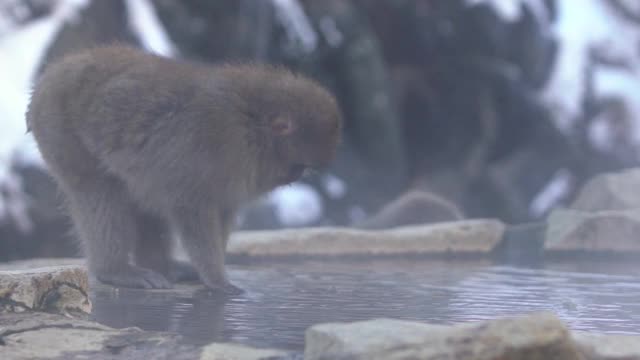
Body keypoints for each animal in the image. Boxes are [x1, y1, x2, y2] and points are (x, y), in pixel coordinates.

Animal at [27, 45, 342, 292]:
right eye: (299, 165)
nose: (295, 175)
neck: (250, 124)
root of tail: (52, 73)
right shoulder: (210, 147)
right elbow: (192, 210)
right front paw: (216, 279)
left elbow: (220, 211)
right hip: (60, 131)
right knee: (99, 192)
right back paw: (115, 270)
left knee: (141, 197)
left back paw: (163, 267)